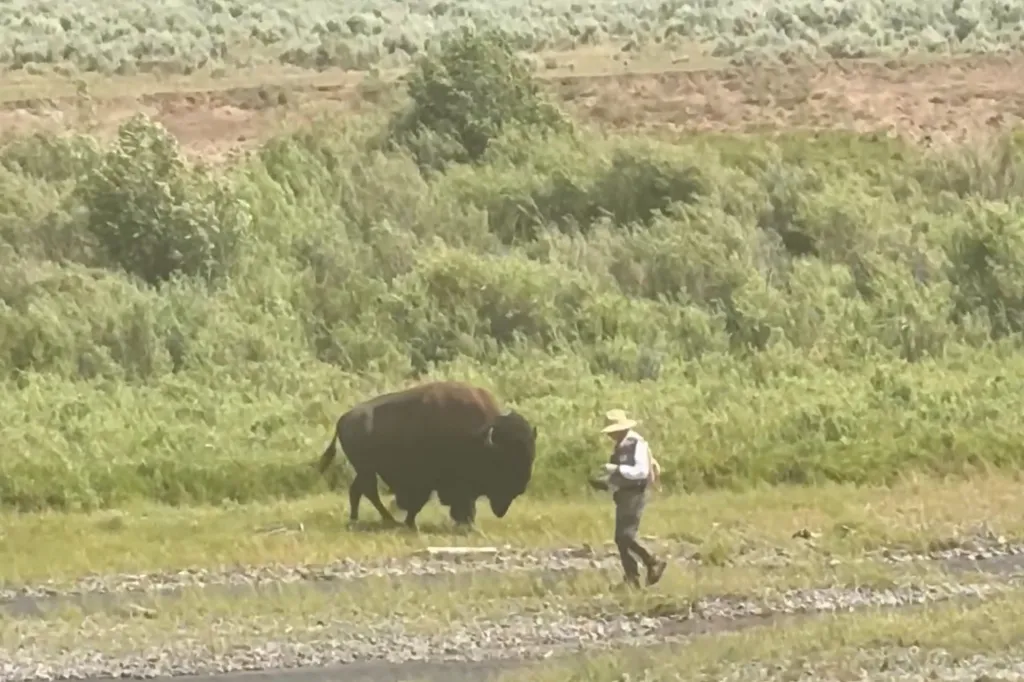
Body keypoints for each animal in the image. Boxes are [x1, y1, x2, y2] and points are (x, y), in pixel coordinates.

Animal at [317, 380, 538, 530]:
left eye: (531, 455)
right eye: (507, 459)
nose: (521, 486)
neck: (481, 436)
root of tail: (343, 419)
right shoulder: (435, 481)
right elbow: (423, 502)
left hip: (365, 470)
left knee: (359, 490)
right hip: (366, 470)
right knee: (367, 491)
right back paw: (383, 520)